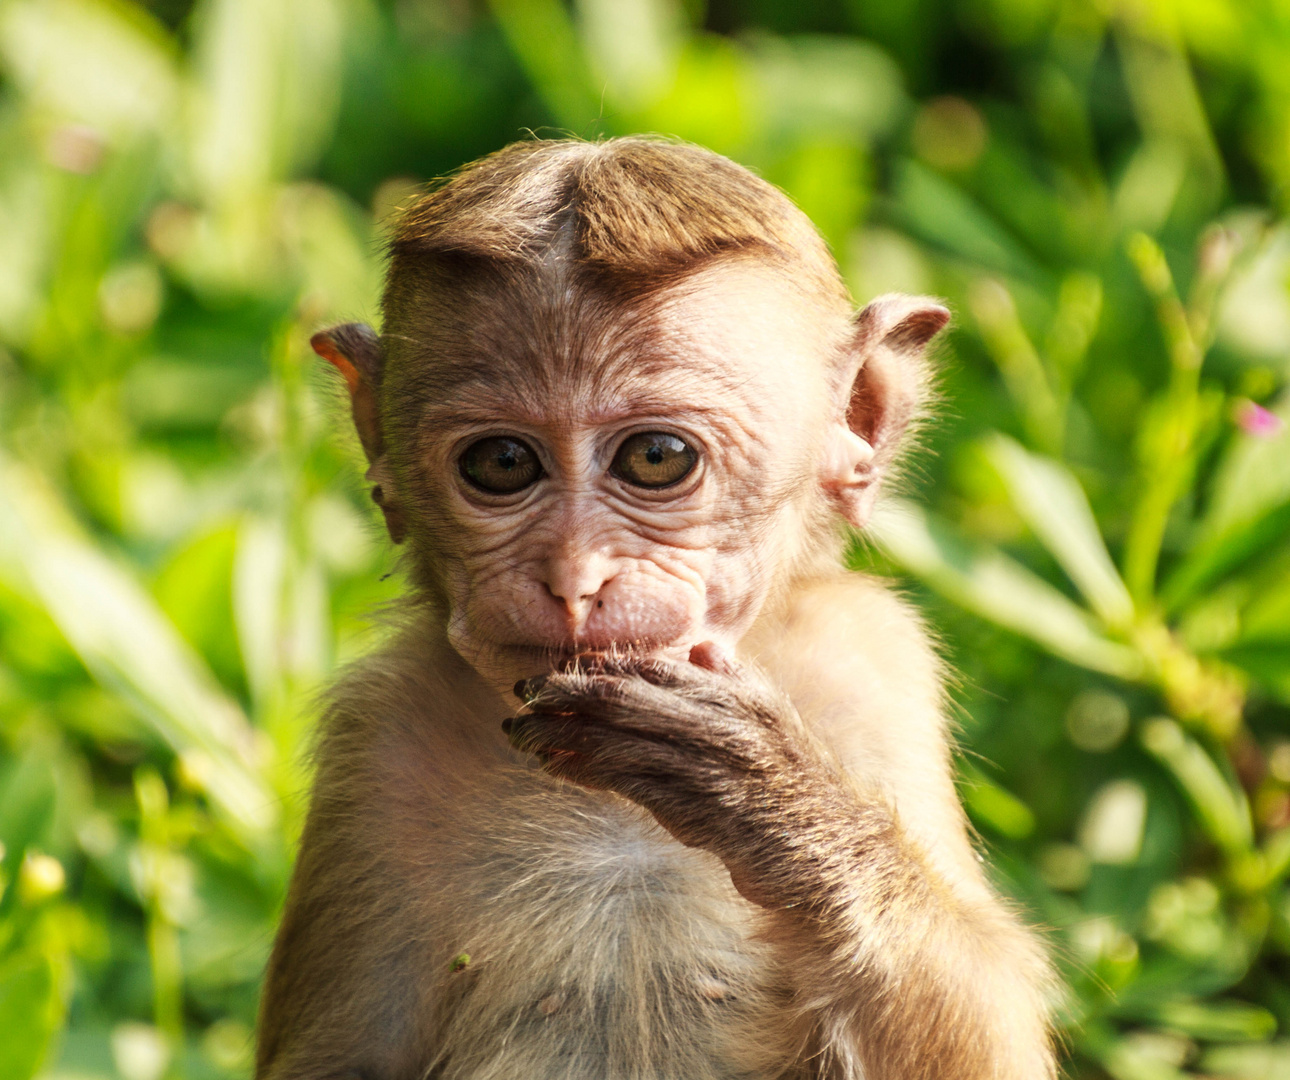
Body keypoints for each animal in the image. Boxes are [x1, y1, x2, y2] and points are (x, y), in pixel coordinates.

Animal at [256, 136, 1052, 1078]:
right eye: (500, 464)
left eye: (657, 458)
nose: (574, 577)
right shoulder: (373, 739)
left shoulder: (874, 664)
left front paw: (773, 801)